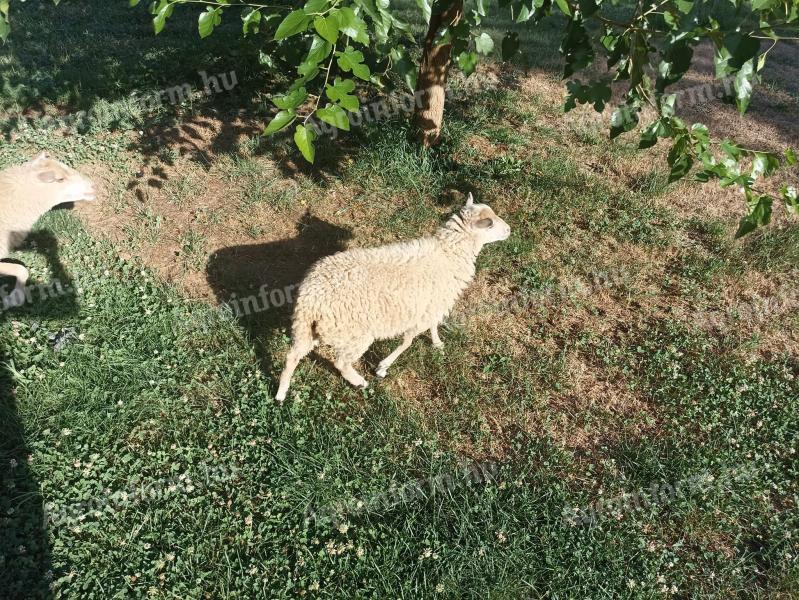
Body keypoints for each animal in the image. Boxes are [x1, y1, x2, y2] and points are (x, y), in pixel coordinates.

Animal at [276, 197, 512, 400]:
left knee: (292, 355)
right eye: (490, 225)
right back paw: (359, 382)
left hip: (309, 329)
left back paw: (281, 392)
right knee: (341, 363)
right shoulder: (425, 309)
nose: (509, 230)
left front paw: (437, 344)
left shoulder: (431, 305)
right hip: (355, 334)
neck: (448, 253)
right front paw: (382, 367)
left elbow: (431, 327)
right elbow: (408, 341)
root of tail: (310, 300)